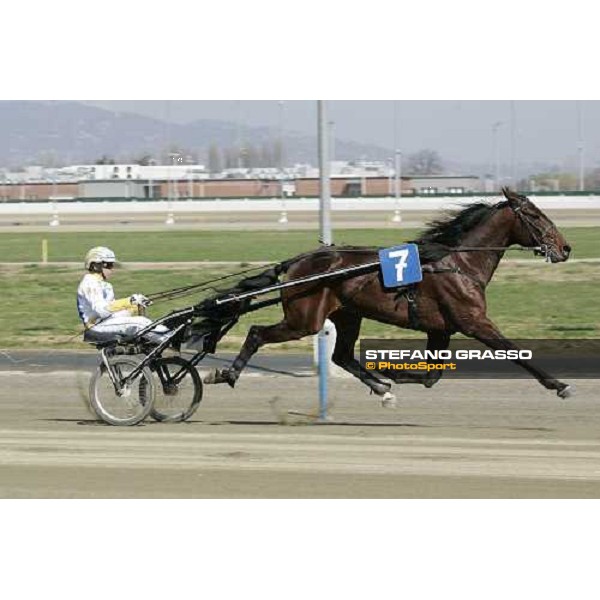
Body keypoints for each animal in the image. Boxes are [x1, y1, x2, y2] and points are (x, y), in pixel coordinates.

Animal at [205, 188, 572, 406]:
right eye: (535, 215)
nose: (565, 248)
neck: (460, 263)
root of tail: (297, 263)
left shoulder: (440, 328)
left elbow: (431, 377)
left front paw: (391, 375)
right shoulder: (474, 322)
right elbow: (515, 352)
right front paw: (559, 385)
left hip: (347, 315)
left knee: (342, 356)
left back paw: (381, 389)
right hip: (304, 319)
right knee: (257, 333)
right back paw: (227, 374)